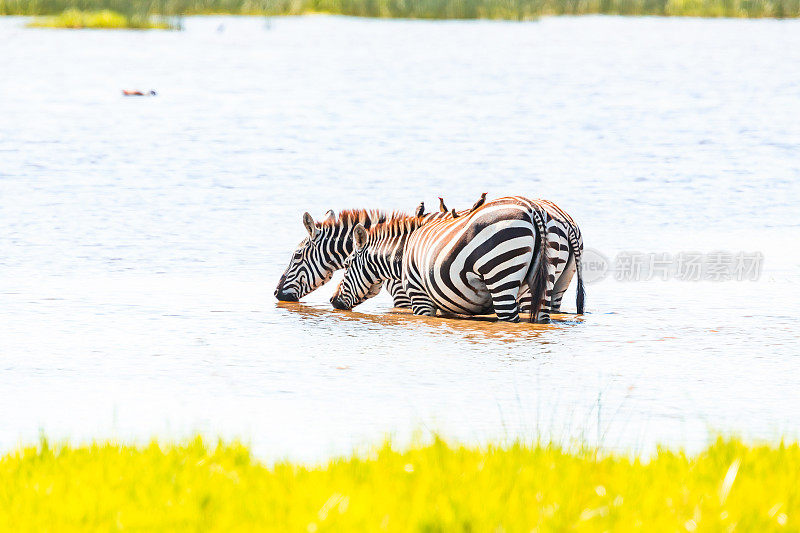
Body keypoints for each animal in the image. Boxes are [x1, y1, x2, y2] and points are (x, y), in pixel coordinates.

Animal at [332, 194, 588, 322]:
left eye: (347, 264)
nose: (333, 302)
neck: (404, 253)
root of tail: (535, 210)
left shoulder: (420, 296)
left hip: (502, 275)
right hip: (553, 280)